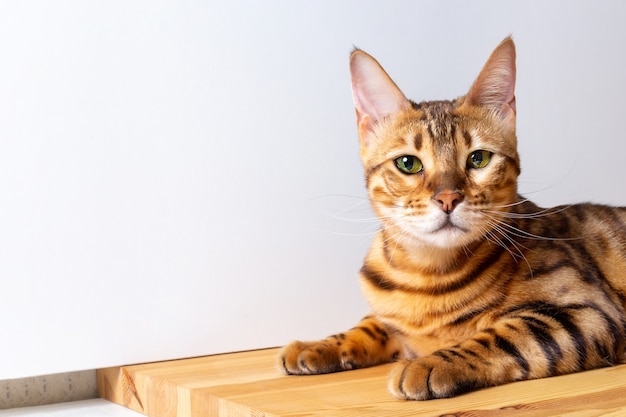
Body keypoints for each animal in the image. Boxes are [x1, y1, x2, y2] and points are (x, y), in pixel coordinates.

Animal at [276, 37, 624, 398]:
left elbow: (501, 335)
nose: (447, 198)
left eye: (479, 158)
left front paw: (428, 363)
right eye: (408, 163)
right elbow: (371, 323)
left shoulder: (589, 312)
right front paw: (318, 344)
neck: (424, 278)